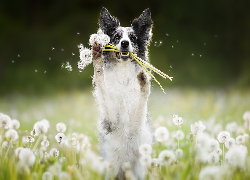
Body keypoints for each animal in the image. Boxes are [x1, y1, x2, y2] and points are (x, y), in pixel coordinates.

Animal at [92, 7, 153, 179]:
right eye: (116, 37)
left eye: (132, 38)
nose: (124, 43)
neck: (124, 77)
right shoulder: (110, 120)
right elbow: (100, 81)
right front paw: (97, 58)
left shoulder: (137, 125)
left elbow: (143, 96)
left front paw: (144, 79)